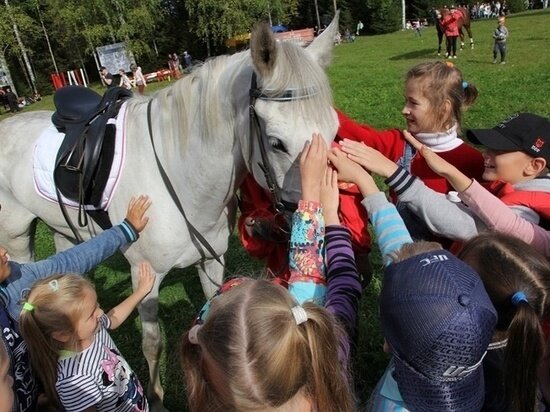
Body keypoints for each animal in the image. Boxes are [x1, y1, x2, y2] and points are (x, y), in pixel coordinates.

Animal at [0, 14, 340, 410]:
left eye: (334, 130)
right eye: (276, 143)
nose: (314, 217)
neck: (182, 174)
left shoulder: (212, 262)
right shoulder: (145, 277)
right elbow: (153, 343)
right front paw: (158, 398)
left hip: (63, 231)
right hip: (17, 239)